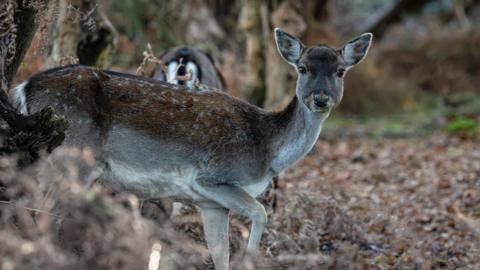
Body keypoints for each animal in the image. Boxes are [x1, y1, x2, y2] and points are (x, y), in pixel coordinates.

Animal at [10, 28, 372, 268]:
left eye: (340, 71)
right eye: (302, 68)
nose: (320, 98)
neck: (267, 150)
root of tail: (24, 87)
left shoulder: (210, 204)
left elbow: (220, 254)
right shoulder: (214, 178)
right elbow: (260, 212)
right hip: (73, 156)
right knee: (41, 213)